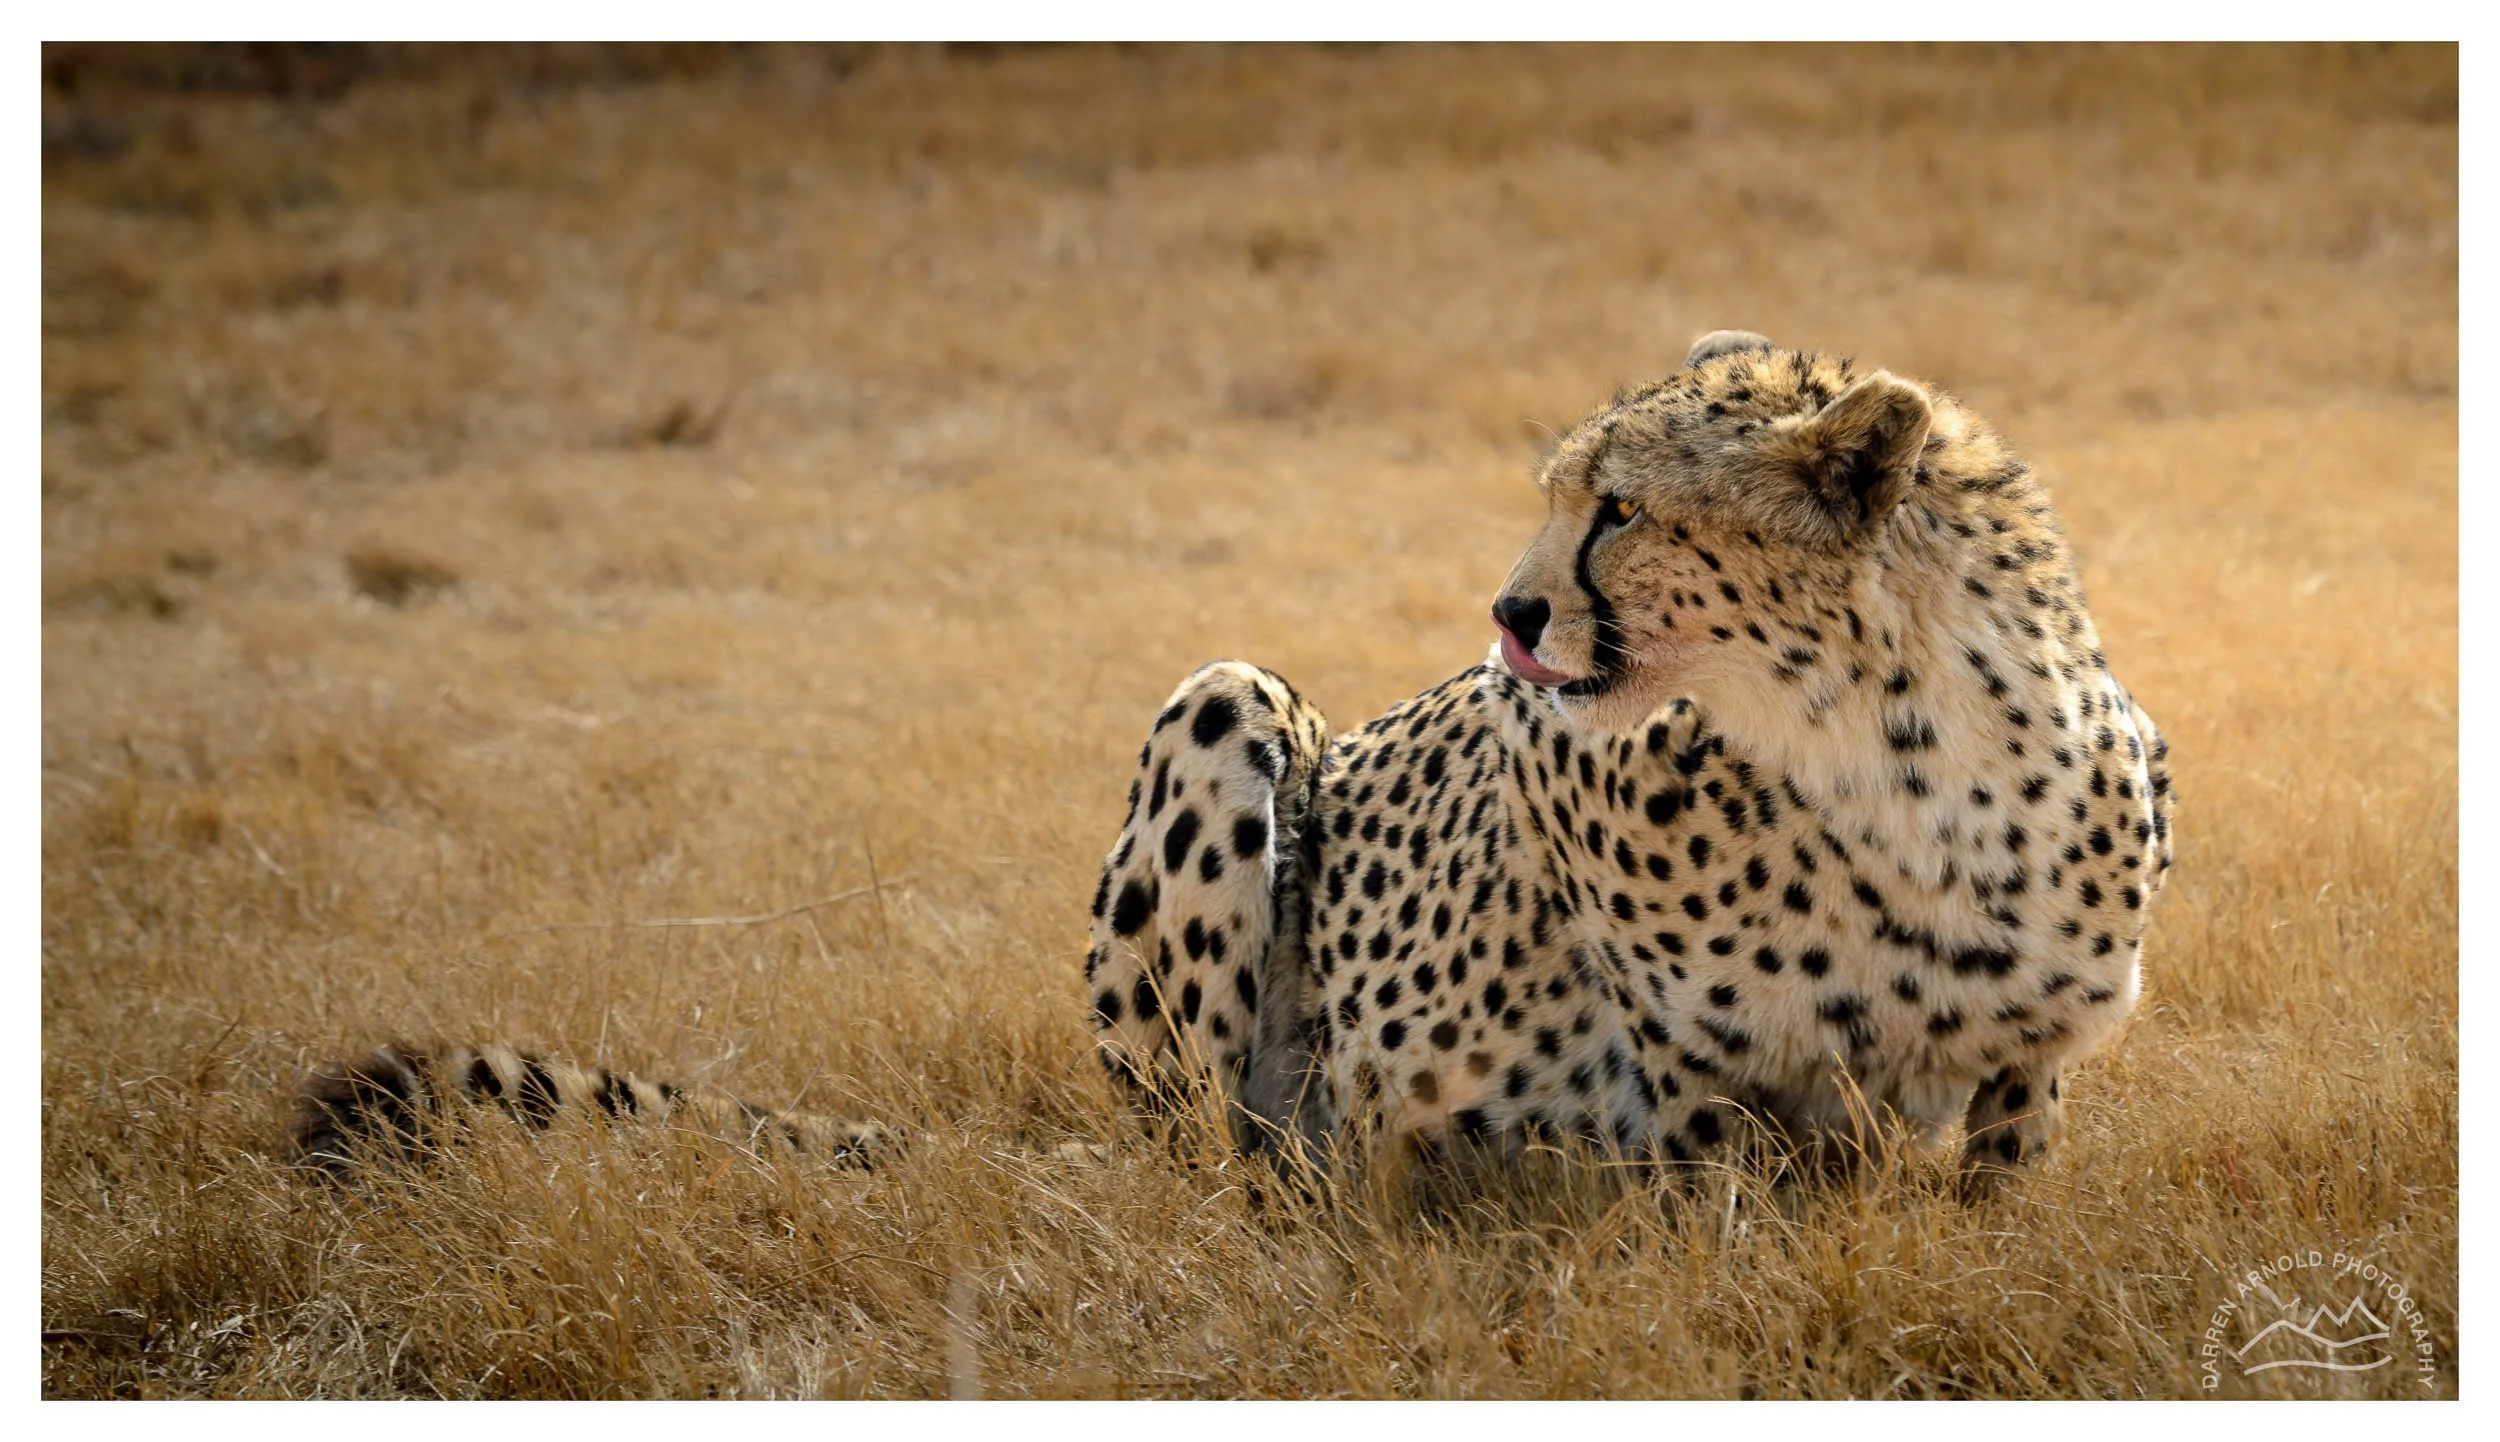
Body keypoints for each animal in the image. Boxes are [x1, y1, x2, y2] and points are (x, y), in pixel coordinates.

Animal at [1082, 329, 2176, 1191]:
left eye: (1621, 509)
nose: (1509, 615)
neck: (1906, 772)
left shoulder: (2028, 1064)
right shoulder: (1684, 1066)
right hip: (1223, 702)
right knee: (1201, 1155)